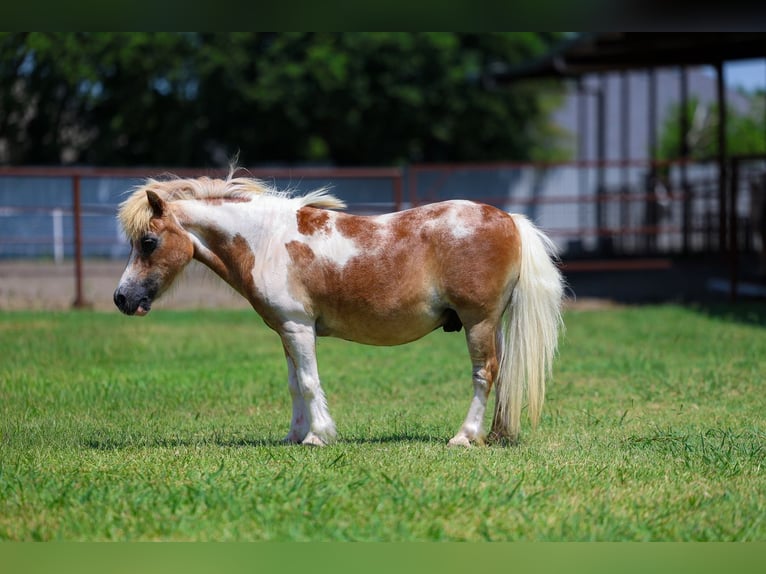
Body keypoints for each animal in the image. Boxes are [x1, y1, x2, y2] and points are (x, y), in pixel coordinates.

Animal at [113, 171, 564, 447]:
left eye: (148, 242)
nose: (122, 298)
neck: (266, 240)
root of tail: (507, 218)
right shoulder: (286, 331)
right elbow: (294, 385)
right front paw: (293, 436)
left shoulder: (298, 327)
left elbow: (310, 383)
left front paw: (318, 436)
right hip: (493, 324)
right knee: (502, 375)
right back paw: (497, 435)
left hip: (478, 322)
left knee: (483, 374)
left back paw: (465, 436)